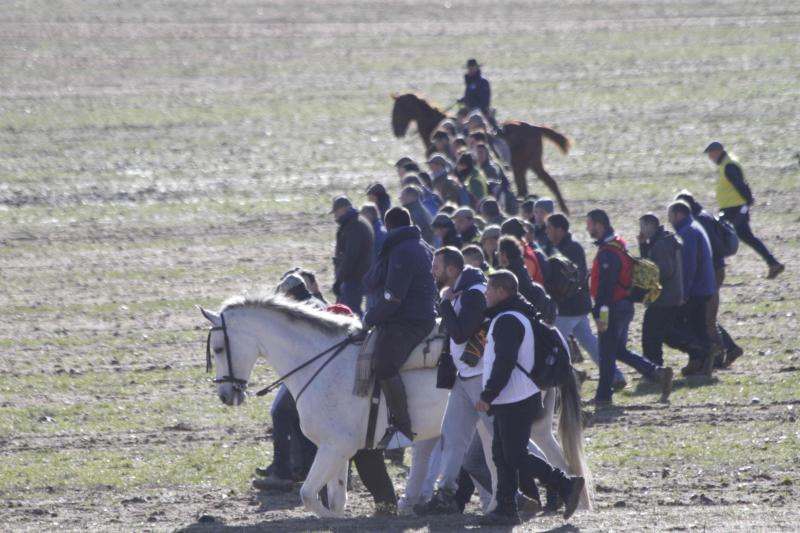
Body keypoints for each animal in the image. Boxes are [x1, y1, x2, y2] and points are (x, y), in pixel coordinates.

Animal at [197, 294, 592, 516]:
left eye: (218, 347)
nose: (226, 395)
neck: (320, 361)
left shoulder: (334, 447)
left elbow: (310, 496)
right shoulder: (340, 450)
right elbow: (334, 498)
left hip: (503, 423)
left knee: (521, 462)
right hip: (506, 424)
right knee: (531, 460)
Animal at [392, 92, 568, 214]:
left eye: (400, 108)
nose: (396, 131)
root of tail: (534, 127)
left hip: (521, 166)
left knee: (525, 190)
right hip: (533, 164)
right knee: (550, 182)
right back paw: (564, 209)